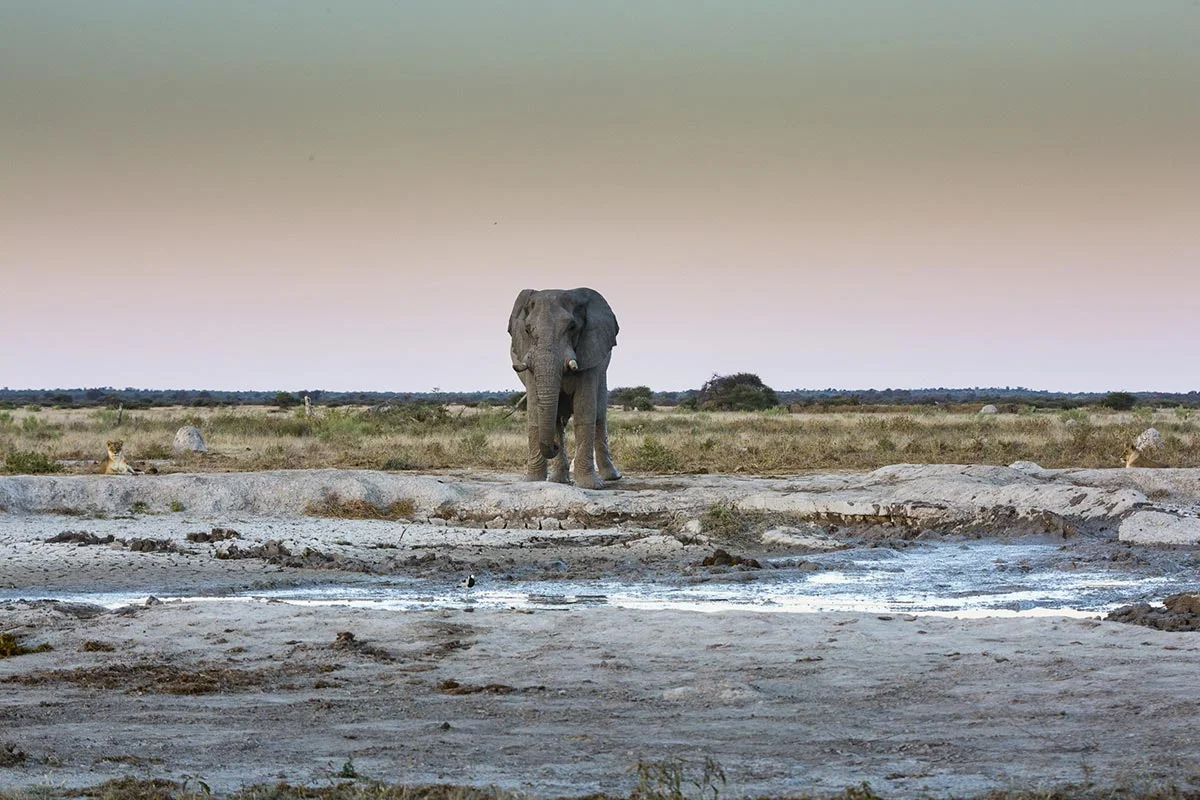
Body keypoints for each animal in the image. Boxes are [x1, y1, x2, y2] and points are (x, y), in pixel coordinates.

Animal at [508, 287, 622, 489]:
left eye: (572, 327)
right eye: (527, 330)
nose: (553, 446)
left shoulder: (589, 352)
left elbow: (585, 413)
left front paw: (591, 486)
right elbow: (535, 414)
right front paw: (532, 481)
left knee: (599, 415)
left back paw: (611, 477)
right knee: (558, 420)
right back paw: (558, 480)